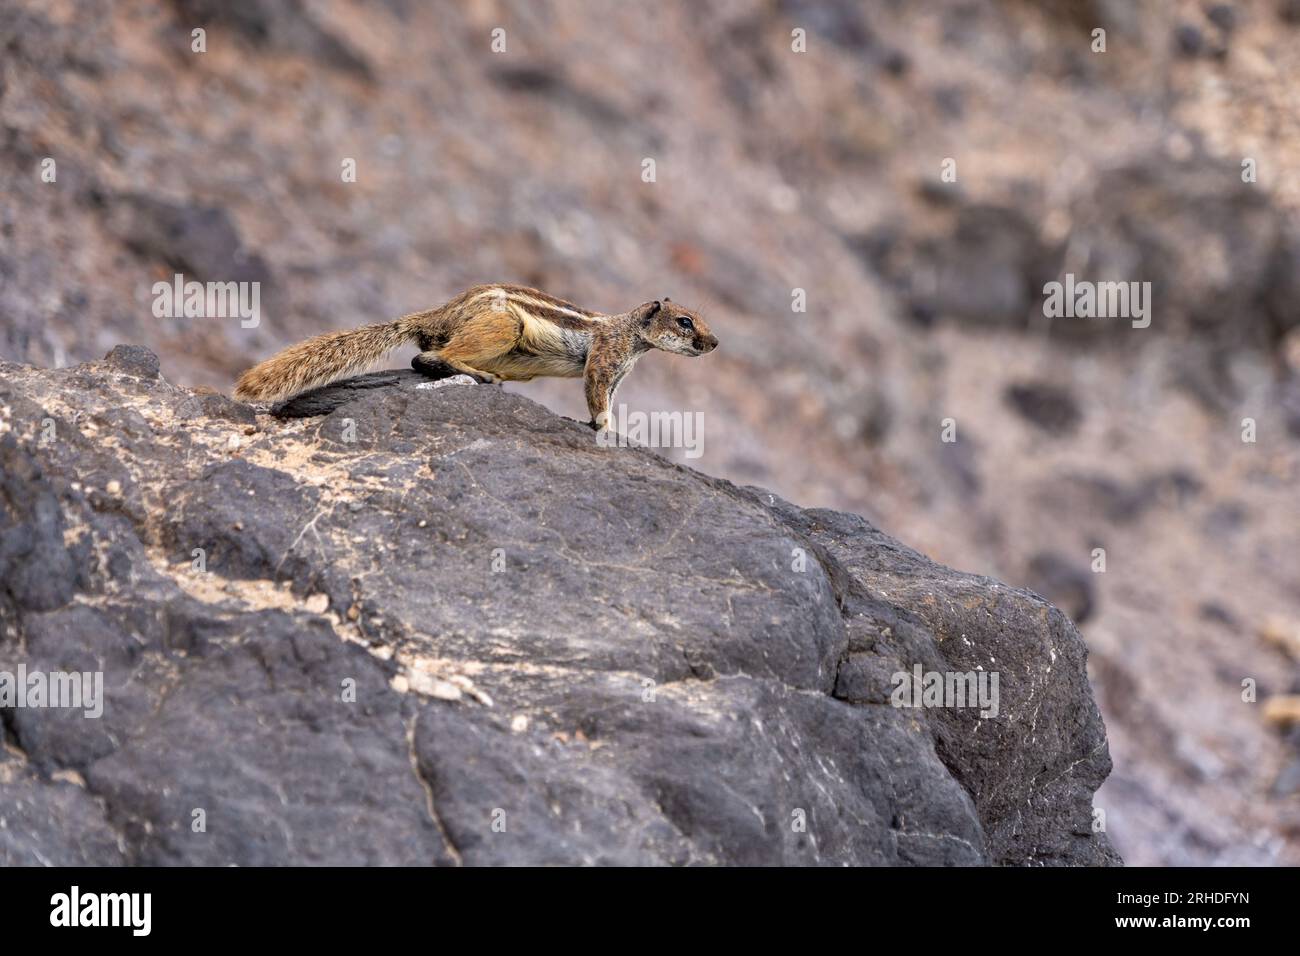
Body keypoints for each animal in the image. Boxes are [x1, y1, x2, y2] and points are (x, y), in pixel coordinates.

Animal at [233, 284, 718, 429]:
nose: (714, 344)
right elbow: (597, 396)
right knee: (434, 358)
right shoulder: (603, 359)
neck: (631, 334)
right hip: (502, 326)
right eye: (685, 322)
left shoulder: (620, 373)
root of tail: (439, 314)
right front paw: (606, 429)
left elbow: (610, 398)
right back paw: (478, 374)